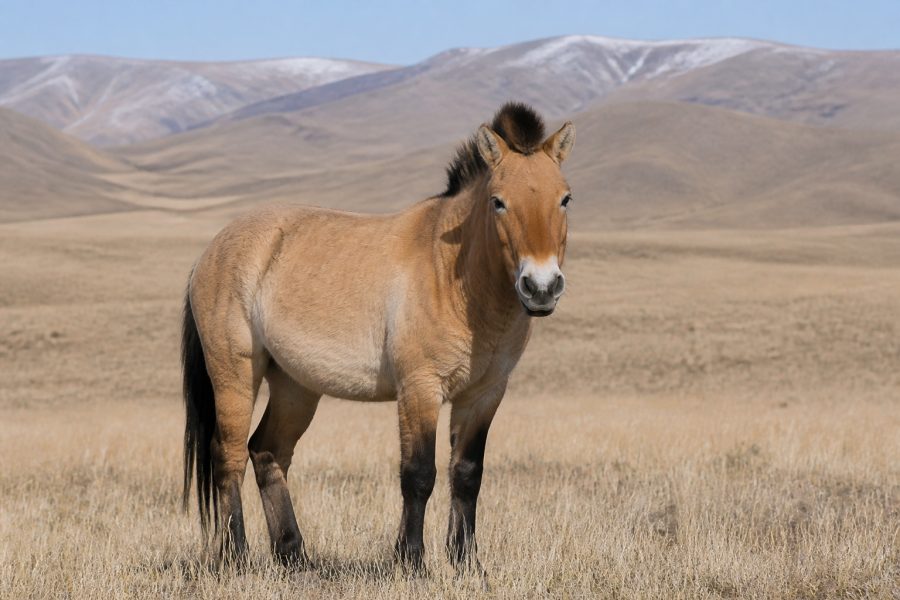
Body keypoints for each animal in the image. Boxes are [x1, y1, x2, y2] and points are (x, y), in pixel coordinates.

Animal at [181, 102, 575, 575]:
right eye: (498, 201)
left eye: (565, 198)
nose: (541, 287)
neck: (452, 273)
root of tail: (210, 251)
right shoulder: (420, 389)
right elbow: (418, 474)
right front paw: (412, 562)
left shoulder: (483, 395)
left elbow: (467, 474)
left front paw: (467, 563)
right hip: (236, 374)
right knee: (230, 456)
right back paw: (235, 557)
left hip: (295, 387)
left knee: (268, 452)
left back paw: (294, 555)